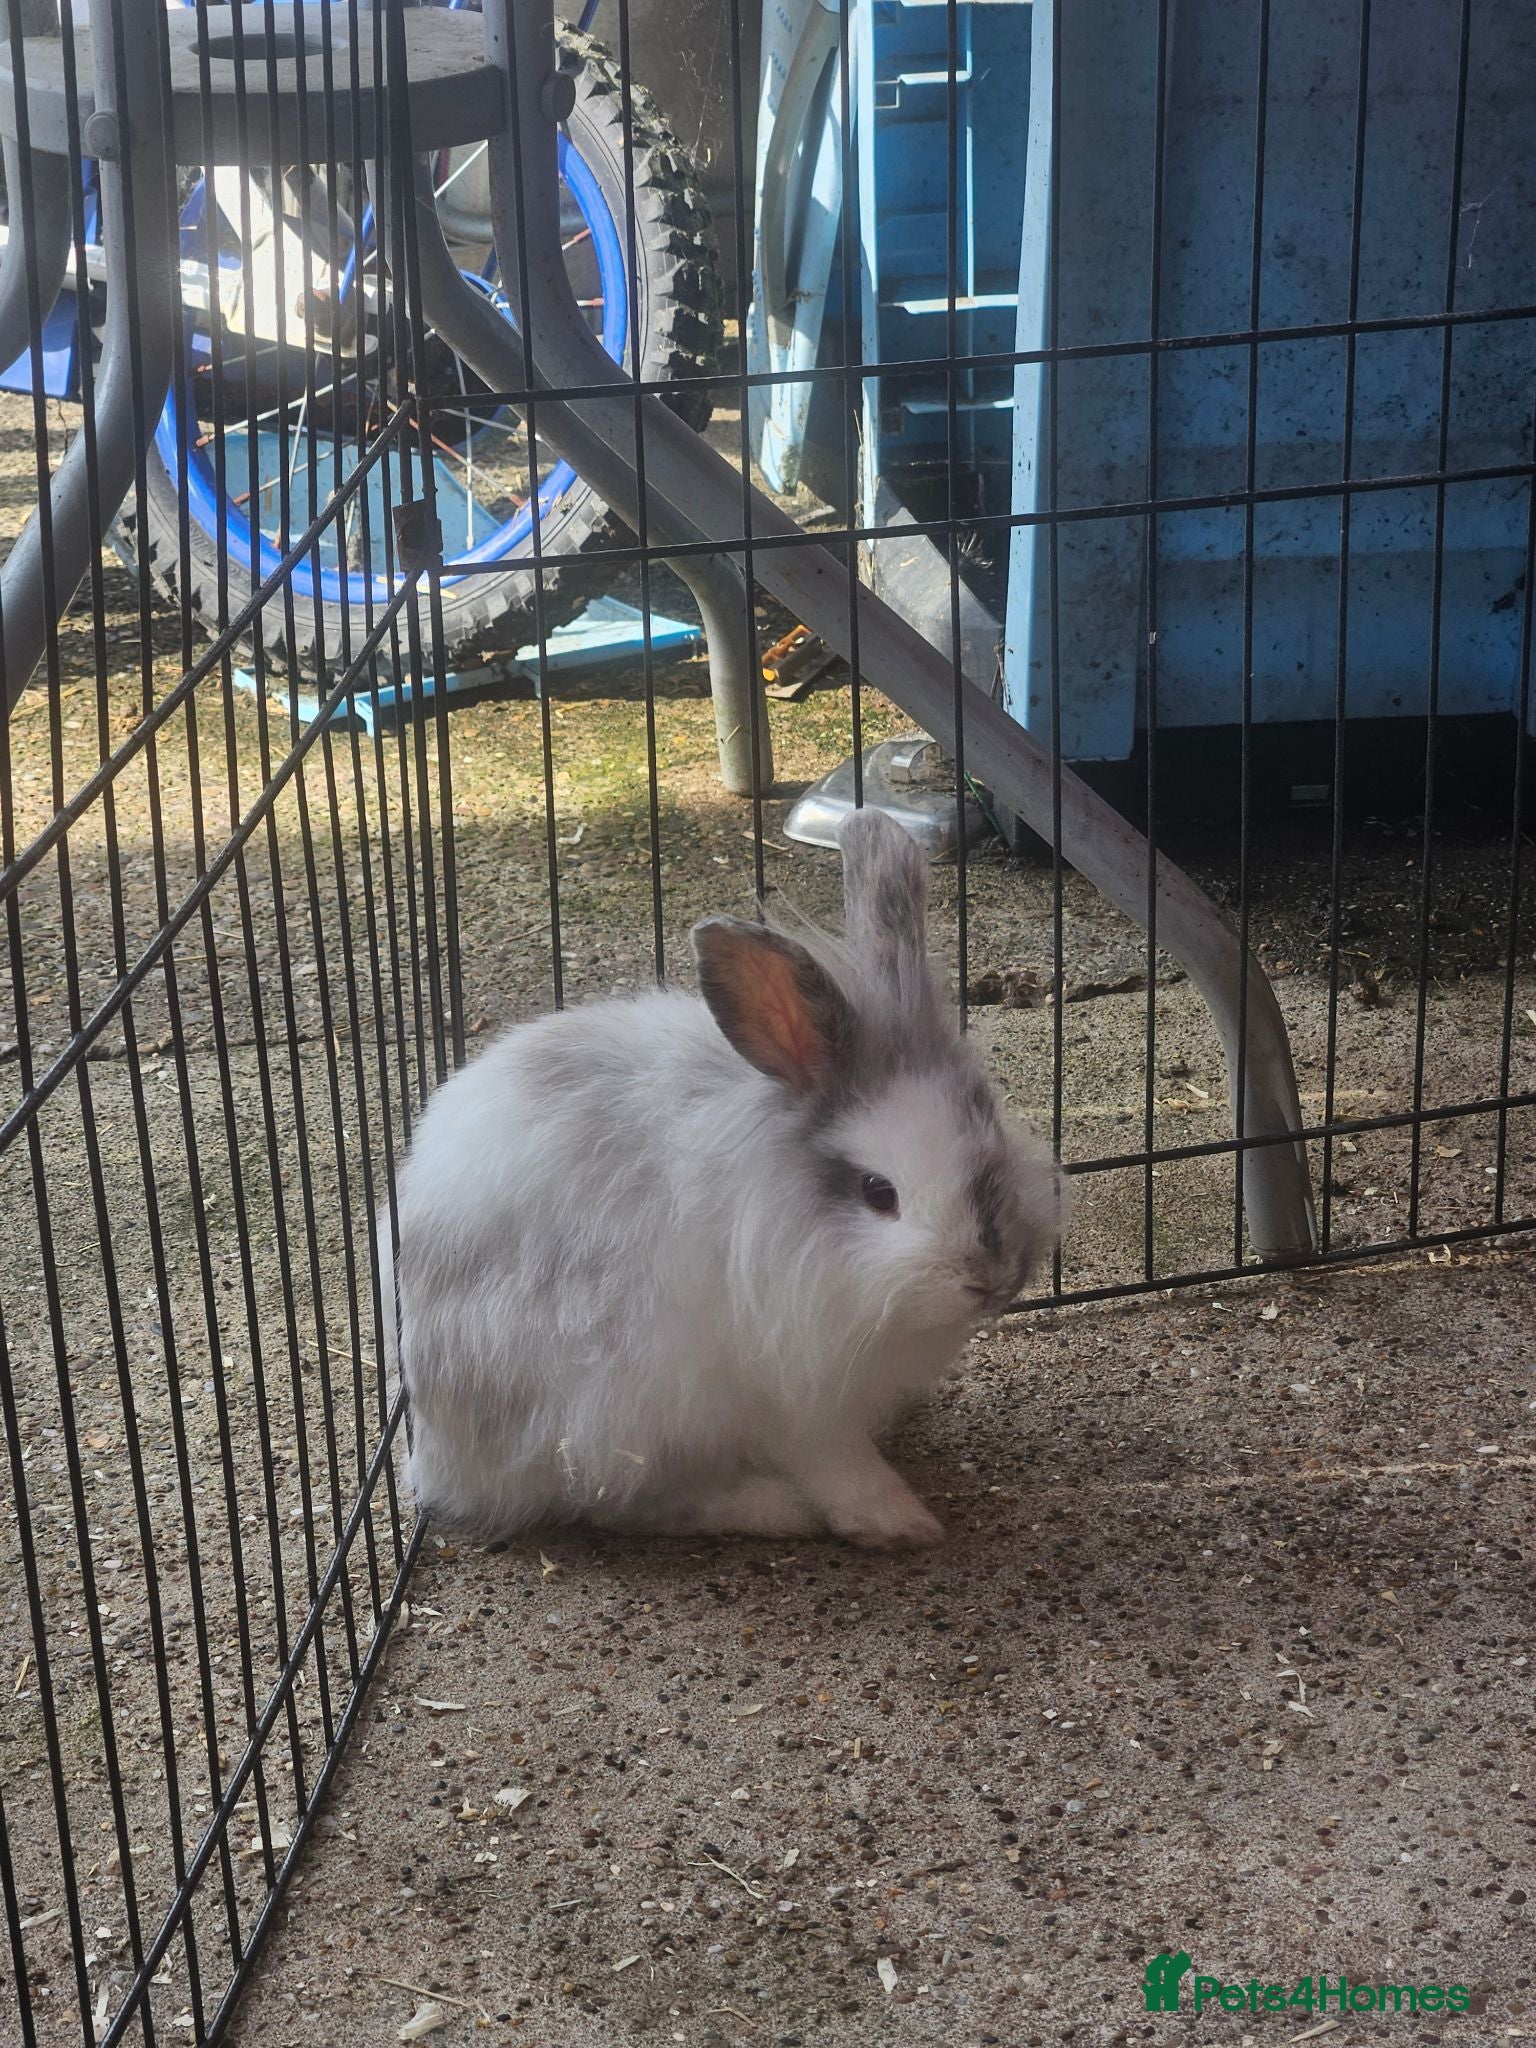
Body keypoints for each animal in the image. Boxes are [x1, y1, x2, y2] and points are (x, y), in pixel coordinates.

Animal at [383, 806, 1067, 1548]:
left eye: (990, 1136)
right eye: (878, 1194)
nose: (991, 1279)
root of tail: (437, 1464)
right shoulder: (797, 1396)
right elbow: (838, 1464)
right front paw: (901, 1523)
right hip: (619, 1410)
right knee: (617, 1503)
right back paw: (771, 1507)